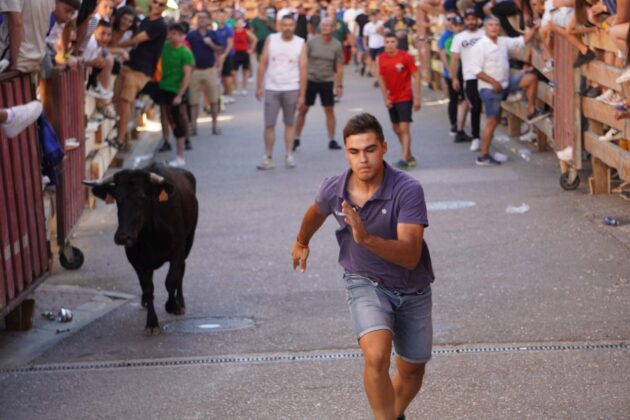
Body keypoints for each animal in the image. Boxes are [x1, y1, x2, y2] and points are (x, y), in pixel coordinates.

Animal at [84, 164, 198, 334]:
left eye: (142, 197)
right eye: (117, 198)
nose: (123, 237)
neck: (150, 235)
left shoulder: (178, 249)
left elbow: (171, 280)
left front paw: (172, 305)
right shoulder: (137, 261)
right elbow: (147, 287)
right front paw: (151, 323)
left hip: (189, 240)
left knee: (181, 271)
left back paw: (181, 303)